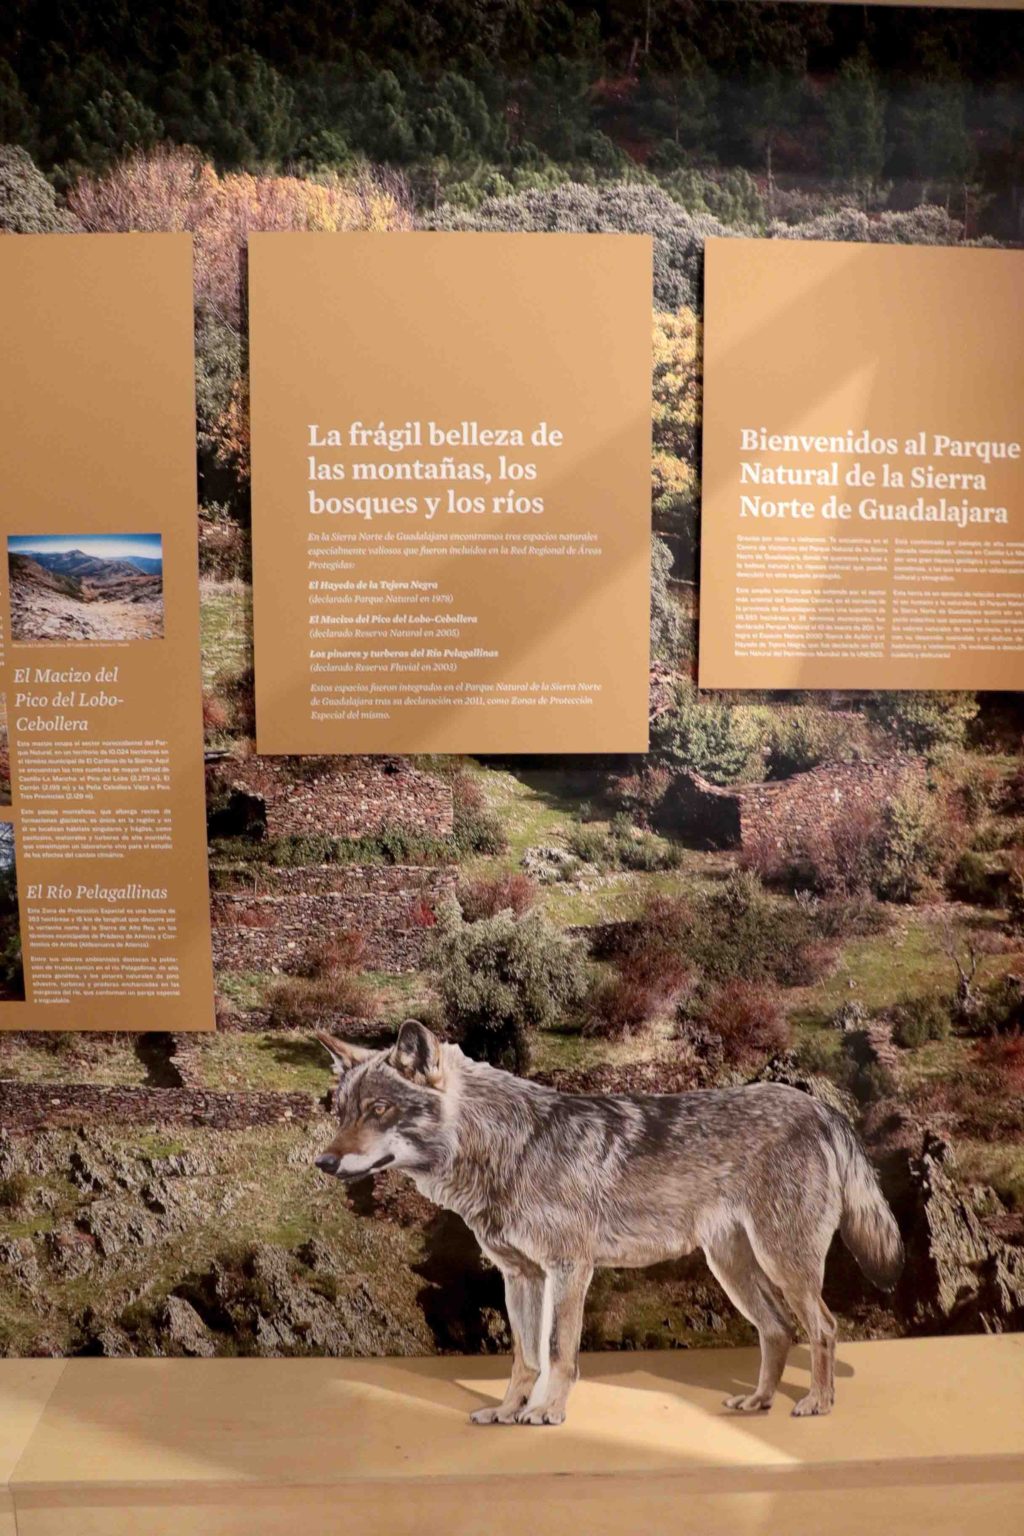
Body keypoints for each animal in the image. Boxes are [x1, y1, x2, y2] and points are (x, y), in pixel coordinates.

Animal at [314, 1019, 902, 1425]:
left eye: (379, 1109)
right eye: (340, 1112)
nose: (324, 1162)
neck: (510, 1148)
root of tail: (820, 1108)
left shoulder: (569, 1269)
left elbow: (557, 1351)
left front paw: (546, 1413)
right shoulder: (520, 1277)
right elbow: (524, 1357)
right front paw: (508, 1412)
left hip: (783, 1265)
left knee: (823, 1327)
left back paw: (817, 1403)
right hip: (733, 1269)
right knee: (778, 1329)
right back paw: (759, 1401)